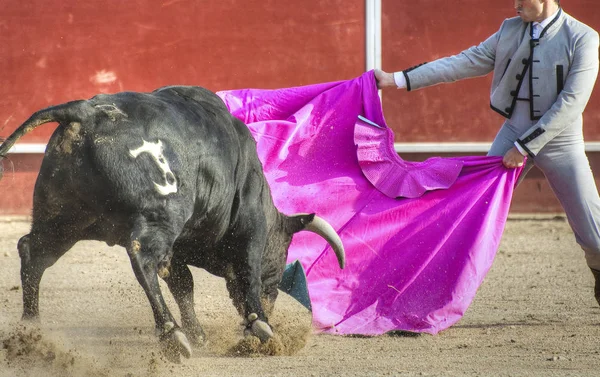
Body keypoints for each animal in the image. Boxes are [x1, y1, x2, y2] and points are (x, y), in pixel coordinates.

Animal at [0, 86, 344, 362]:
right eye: (282, 256)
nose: (271, 304)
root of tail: (84, 111)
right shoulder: (249, 225)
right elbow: (247, 271)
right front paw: (259, 324)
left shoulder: (178, 250)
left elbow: (183, 284)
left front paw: (199, 334)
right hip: (160, 215)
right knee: (142, 258)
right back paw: (171, 334)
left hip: (63, 219)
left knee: (33, 253)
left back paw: (31, 331)